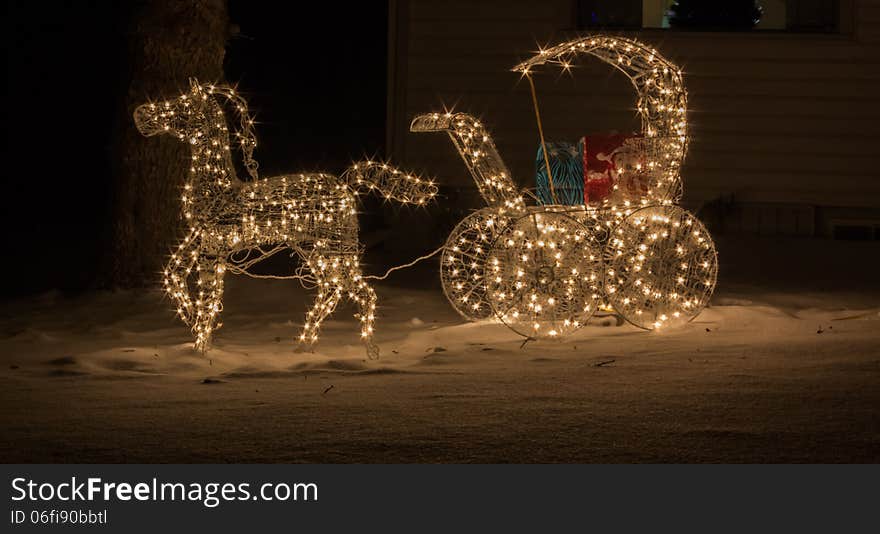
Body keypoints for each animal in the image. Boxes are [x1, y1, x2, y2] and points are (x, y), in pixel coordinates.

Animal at [134, 78, 436, 360]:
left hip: (339, 250)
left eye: (182, 105)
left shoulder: (213, 247)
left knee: (361, 291)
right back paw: (304, 345)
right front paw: (193, 327)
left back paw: (368, 350)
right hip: (315, 250)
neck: (217, 189)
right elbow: (173, 275)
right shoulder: (198, 239)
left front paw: (200, 347)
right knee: (332, 289)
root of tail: (347, 185)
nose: (140, 115)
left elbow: (208, 298)